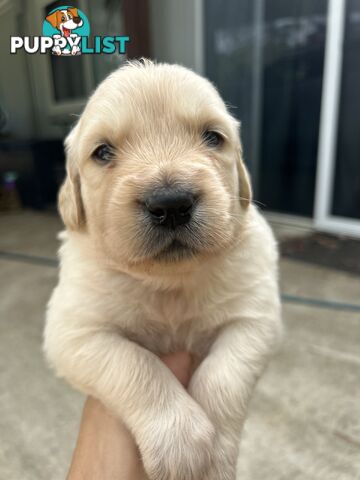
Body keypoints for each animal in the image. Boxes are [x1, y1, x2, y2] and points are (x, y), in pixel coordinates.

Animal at [45, 61, 282, 480]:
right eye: (102, 152)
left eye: (213, 137)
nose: (171, 204)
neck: (169, 282)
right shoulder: (74, 330)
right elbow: (135, 364)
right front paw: (180, 441)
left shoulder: (256, 318)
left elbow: (223, 374)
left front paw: (215, 454)